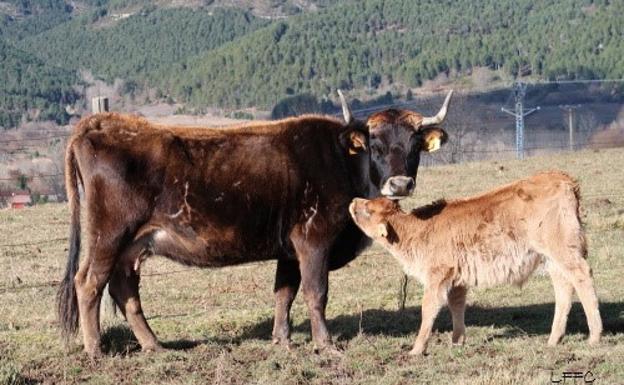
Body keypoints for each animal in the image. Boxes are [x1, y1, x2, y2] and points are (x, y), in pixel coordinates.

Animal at [58, 91, 454, 356]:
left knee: (124, 288)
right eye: (376, 146)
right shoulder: (314, 240)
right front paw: (325, 344)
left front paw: (282, 339)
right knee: (89, 282)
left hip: (132, 244)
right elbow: (316, 292)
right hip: (108, 235)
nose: (400, 184)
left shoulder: (290, 249)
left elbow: (284, 293)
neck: (343, 160)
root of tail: (105, 123)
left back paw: (155, 345)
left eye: (415, 146)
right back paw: (95, 349)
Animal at [348, 172, 604, 356]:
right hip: (552, 259)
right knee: (564, 288)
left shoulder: (437, 277)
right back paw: (553, 339)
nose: (354, 201)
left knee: (582, 277)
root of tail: (562, 178)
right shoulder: (457, 280)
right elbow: (457, 307)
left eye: (368, 210)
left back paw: (594, 336)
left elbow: (428, 310)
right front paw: (457, 342)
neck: (417, 230)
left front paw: (416, 349)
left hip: (564, 252)